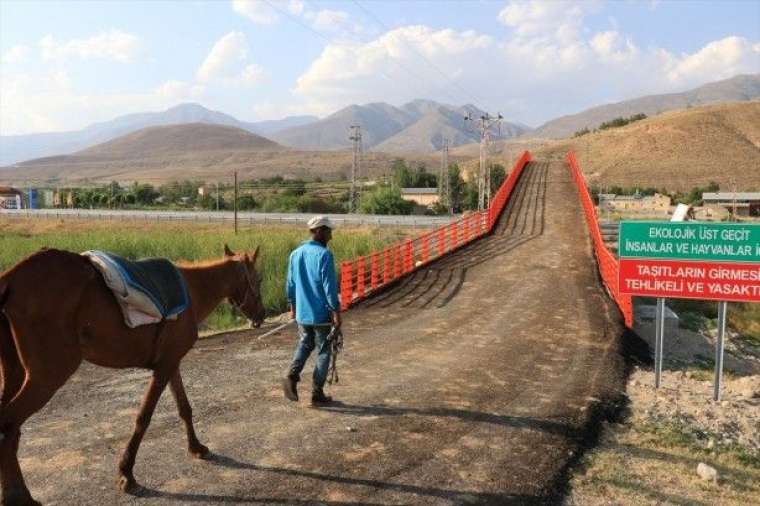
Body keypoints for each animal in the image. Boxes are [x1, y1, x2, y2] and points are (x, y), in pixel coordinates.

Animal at [0, 244, 268, 502]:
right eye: (258, 279)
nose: (262, 315)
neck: (193, 291)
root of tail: (12, 277)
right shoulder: (164, 368)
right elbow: (144, 418)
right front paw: (126, 473)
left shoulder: (171, 363)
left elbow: (184, 408)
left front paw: (196, 447)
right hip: (47, 376)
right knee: (10, 424)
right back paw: (19, 496)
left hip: (14, 374)